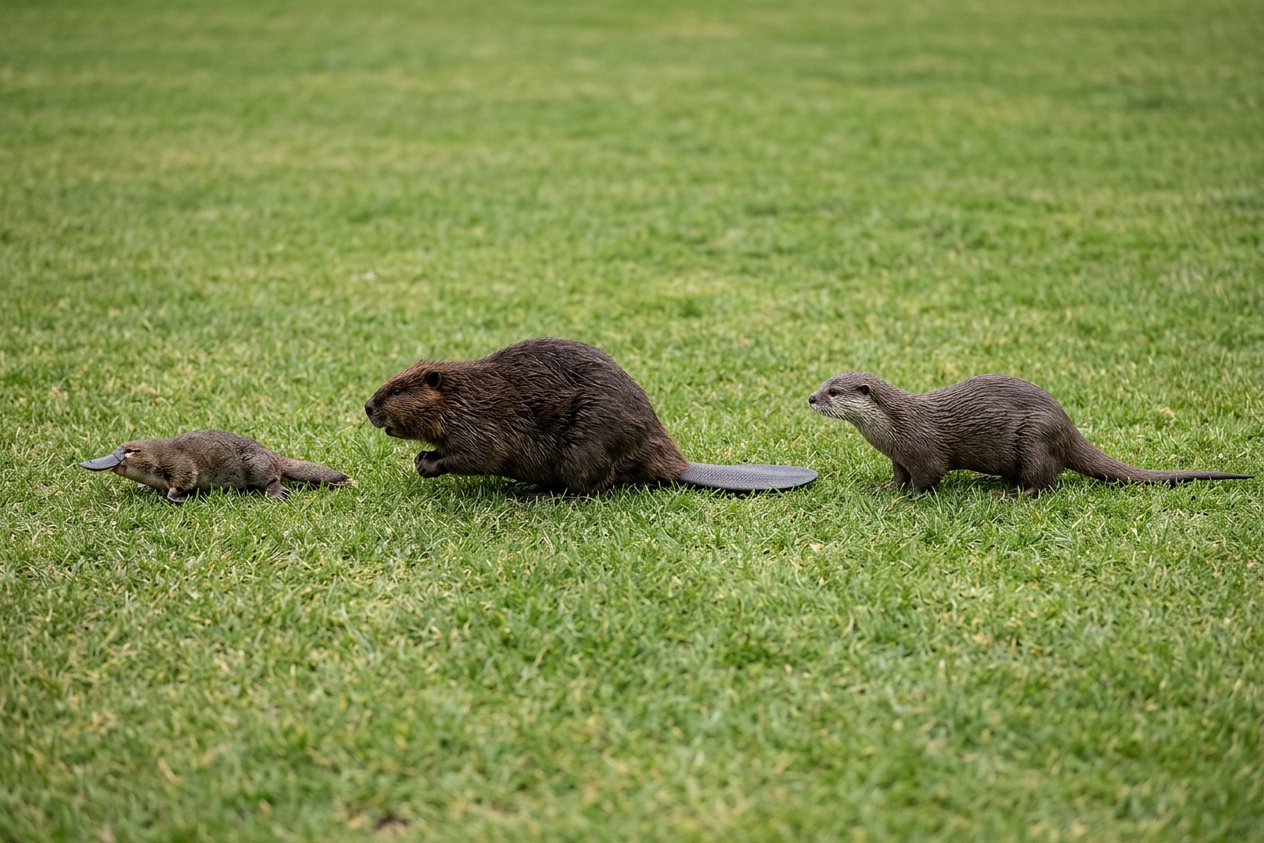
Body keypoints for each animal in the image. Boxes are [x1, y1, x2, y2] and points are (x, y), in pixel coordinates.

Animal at [80, 429, 352, 503]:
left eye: (129, 451)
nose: (88, 463)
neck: (161, 453)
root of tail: (273, 456)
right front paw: (145, 488)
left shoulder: (182, 465)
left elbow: (183, 479)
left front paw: (176, 497)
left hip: (257, 466)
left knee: (274, 477)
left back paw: (275, 493)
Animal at [365, 338, 816, 494]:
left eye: (397, 390)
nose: (368, 407)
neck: (466, 393)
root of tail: (681, 467)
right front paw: (421, 457)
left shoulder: (484, 420)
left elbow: (477, 454)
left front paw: (426, 463)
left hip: (587, 444)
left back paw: (530, 490)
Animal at [808, 372, 1251, 496]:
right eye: (824, 381)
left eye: (834, 392)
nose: (811, 397)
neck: (894, 426)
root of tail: (1067, 425)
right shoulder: (900, 455)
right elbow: (899, 476)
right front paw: (888, 489)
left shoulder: (924, 450)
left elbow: (928, 477)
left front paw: (912, 499)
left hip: (1035, 437)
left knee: (1046, 480)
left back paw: (1010, 494)